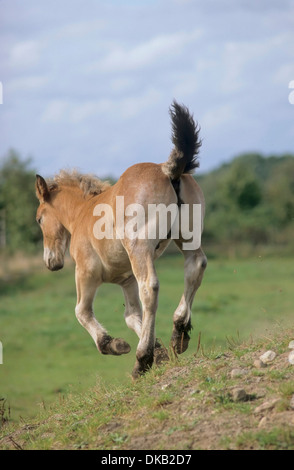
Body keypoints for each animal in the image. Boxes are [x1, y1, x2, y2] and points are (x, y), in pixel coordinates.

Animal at [35, 102, 207, 378]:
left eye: (39, 219)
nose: (51, 261)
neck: (82, 213)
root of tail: (168, 169)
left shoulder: (86, 272)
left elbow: (81, 311)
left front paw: (114, 345)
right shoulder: (126, 280)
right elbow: (132, 316)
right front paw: (159, 354)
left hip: (139, 248)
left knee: (150, 287)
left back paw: (141, 359)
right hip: (188, 239)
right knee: (195, 267)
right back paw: (178, 334)